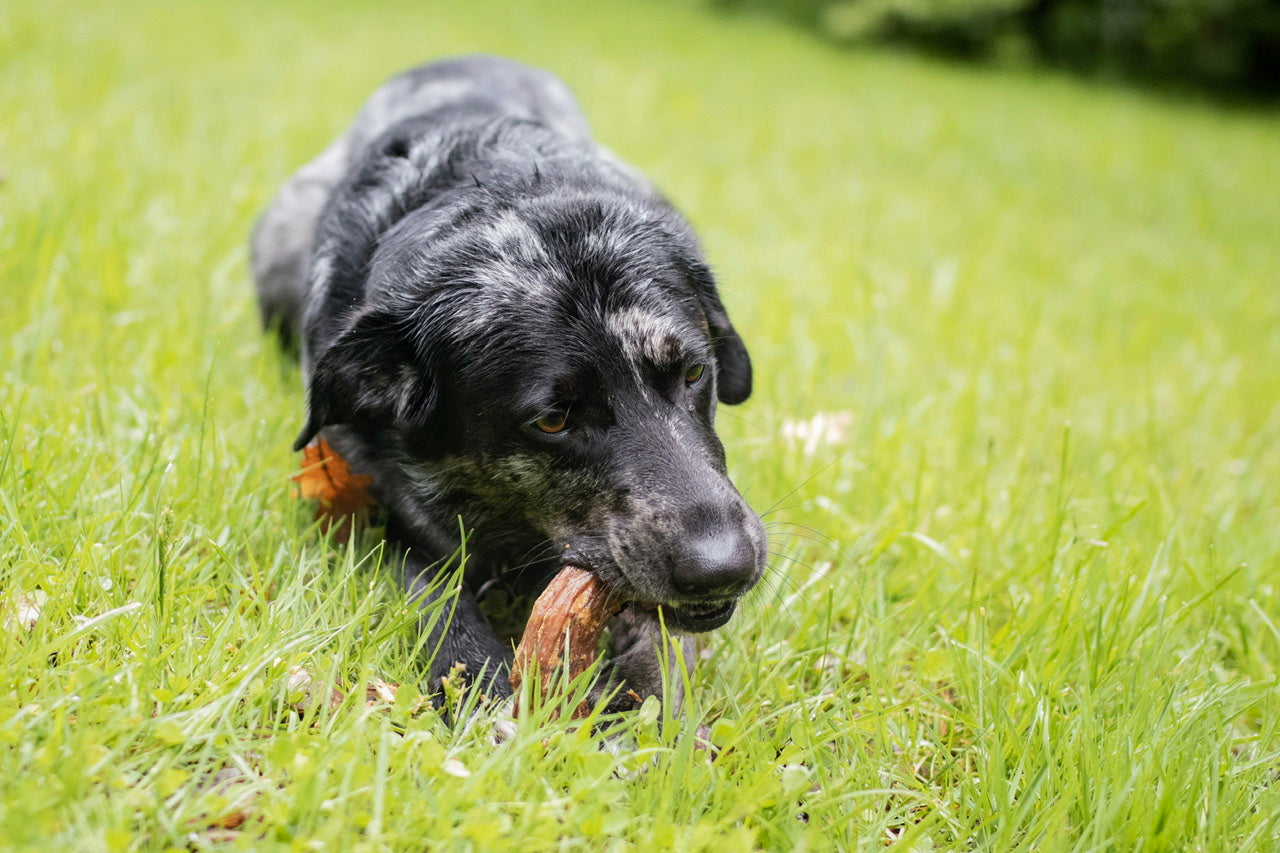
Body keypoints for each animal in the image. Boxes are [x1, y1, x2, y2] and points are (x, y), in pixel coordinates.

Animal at [254, 54, 762, 712]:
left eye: (695, 372)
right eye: (552, 420)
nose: (724, 568)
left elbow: (662, 649)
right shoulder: (384, 514)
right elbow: (434, 598)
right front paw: (481, 685)